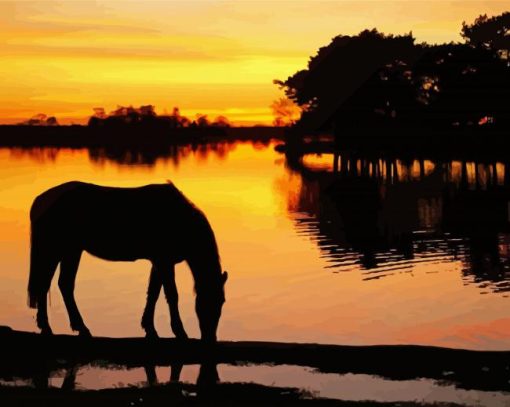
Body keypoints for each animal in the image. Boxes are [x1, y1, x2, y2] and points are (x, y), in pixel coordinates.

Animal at [27, 180, 227, 342]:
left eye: (222, 302)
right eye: (208, 301)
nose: (210, 338)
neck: (179, 218)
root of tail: (41, 200)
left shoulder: (158, 262)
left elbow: (153, 293)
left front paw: (150, 329)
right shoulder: (164, 261)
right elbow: (171, 294)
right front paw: (180, 332)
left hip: (71, 250)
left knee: (62, 284)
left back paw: (76, 328)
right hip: (56, 249)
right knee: (46, 284)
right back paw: (51, 327)